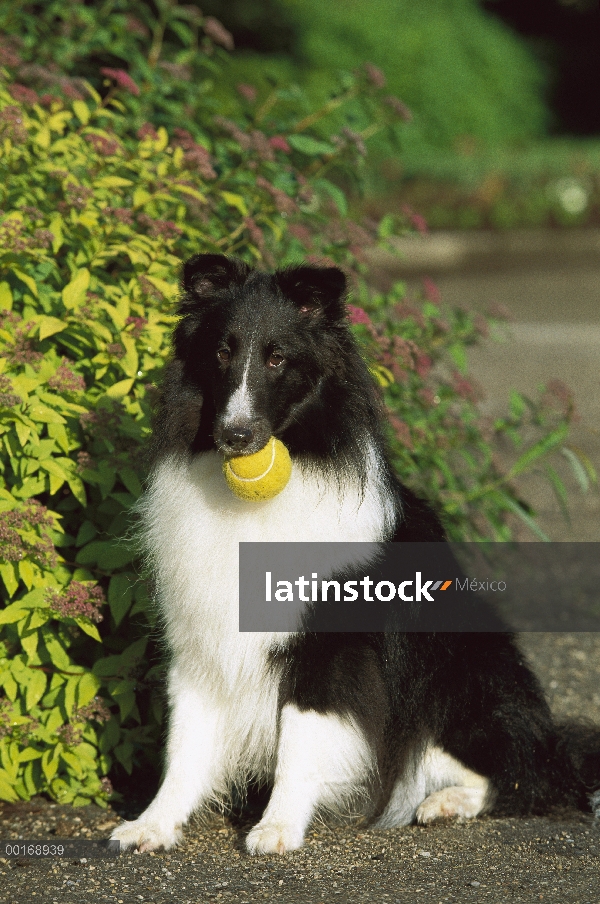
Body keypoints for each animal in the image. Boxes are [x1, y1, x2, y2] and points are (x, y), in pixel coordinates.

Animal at [112, 254, 600, 856]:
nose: (236, 436)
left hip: (462, 681)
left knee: (515, 775)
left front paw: (277, 829)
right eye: (222, 353)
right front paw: (152, 825)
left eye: (277, 357)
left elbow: (299, 740)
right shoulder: (201, 638)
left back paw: (442, 804)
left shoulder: (328, 648)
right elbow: (185, 745)